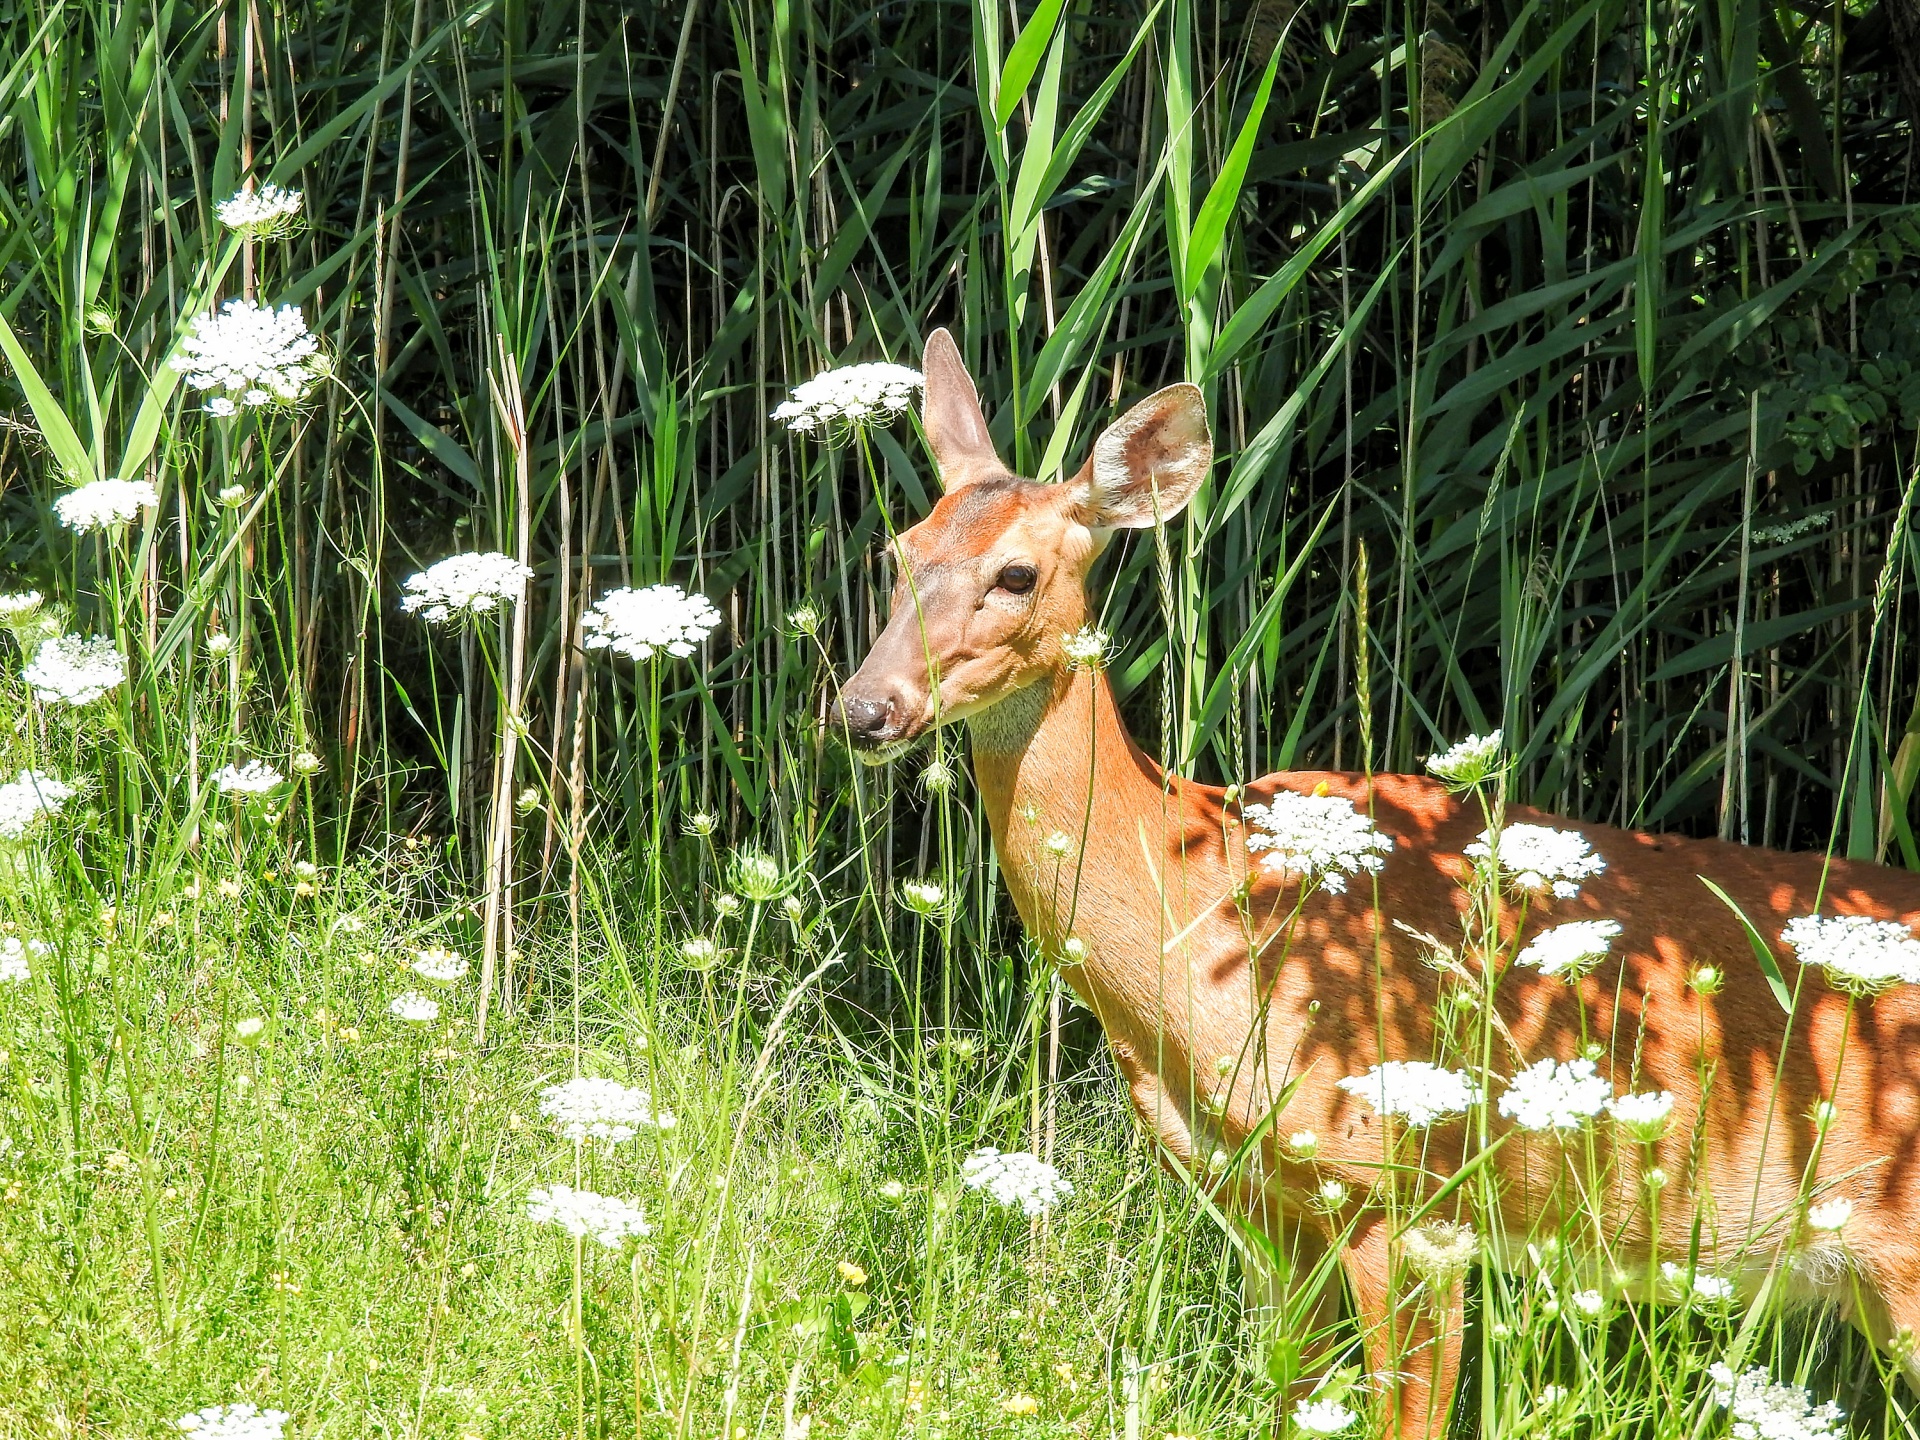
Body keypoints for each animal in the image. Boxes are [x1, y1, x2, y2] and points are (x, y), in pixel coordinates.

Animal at [840, 330, 1920, 1440]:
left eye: (1016, 572)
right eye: (898, 553)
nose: (865, 708)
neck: (1210, 911)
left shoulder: (1402, 1194)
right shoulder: (1268, 1210)